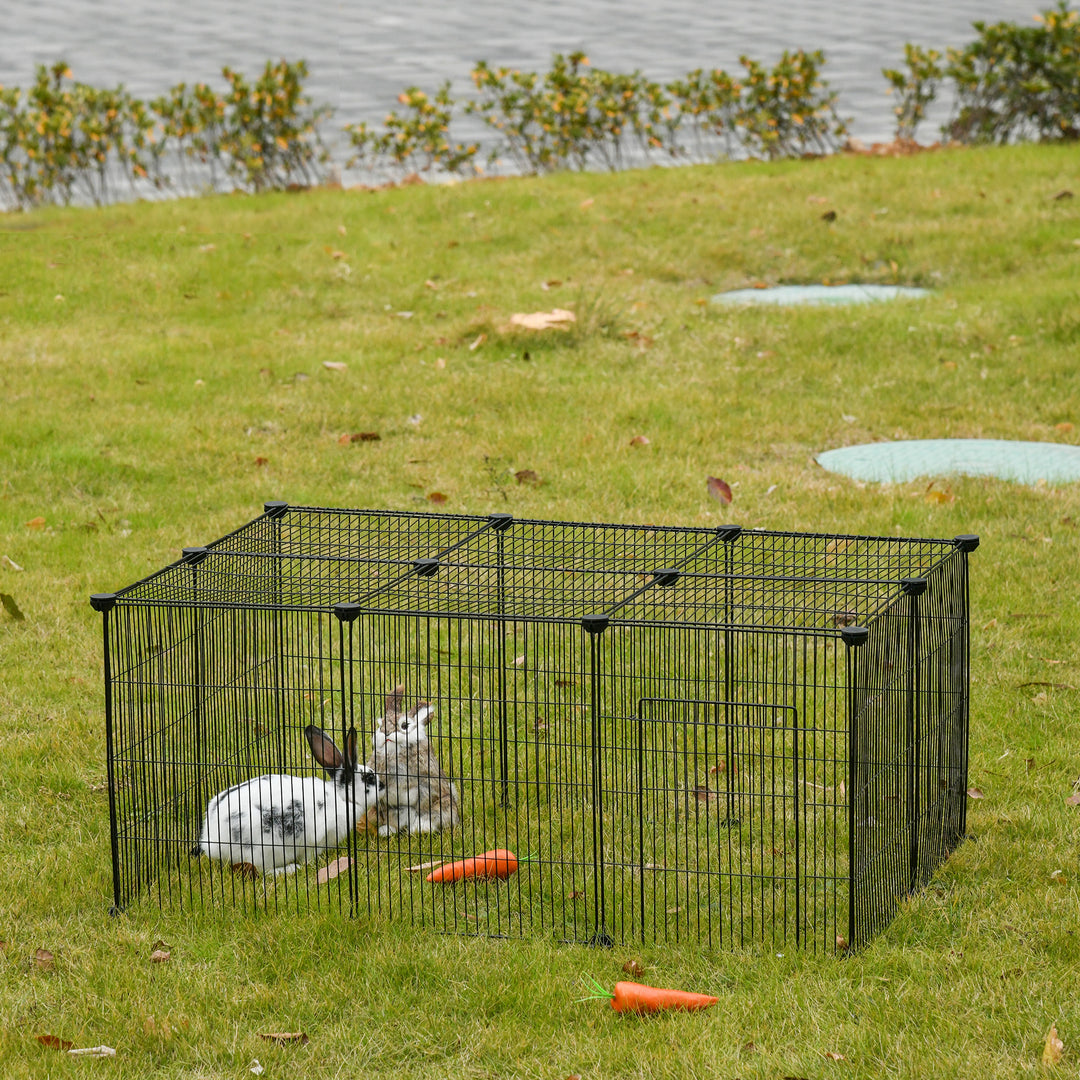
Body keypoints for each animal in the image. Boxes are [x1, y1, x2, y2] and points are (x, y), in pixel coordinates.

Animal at [192, 725, 381, 875]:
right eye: (370, 778)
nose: (383, 785)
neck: (342, 797)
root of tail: (211, 842)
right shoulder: (316, 840)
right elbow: (308, 857)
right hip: (264, 849)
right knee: (264, 871)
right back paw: (290, 869)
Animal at [366, 686, 459, 836]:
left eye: (404, 725)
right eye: (380, 725)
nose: (386, 733)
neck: (394, 752)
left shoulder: (427, 784)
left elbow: (424, 804)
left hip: (444, 805)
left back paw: (419, 829)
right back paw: (386, 831)